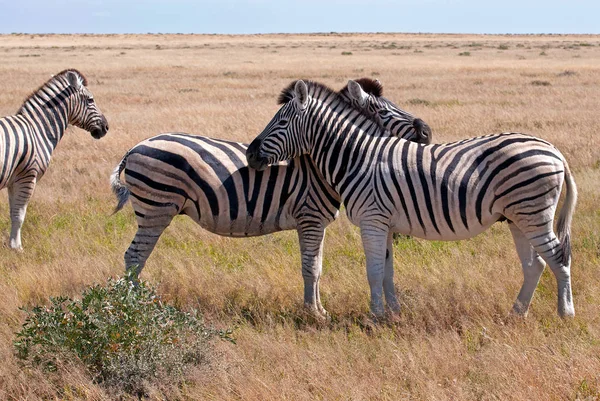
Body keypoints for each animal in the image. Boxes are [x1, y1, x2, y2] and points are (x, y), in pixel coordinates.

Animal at [1, 69, 108, 250]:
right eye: (90, 100)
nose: (106, 127)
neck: (37, 129)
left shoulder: (13, 181)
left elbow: (13, 212)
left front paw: (12, 245)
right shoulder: (27, 176)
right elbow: (19, 215)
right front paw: (17, 248)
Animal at [110, 79, 428, 320]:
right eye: (384, 111)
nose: (426, 131)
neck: (318, 166)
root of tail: (136, 147)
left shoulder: (317, 223)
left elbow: (318, 266)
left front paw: (319, 309)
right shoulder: (309, 218)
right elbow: (310, 268)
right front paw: (313, 314)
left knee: (135, 257)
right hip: (156, 210)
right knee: (134, 256)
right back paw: (133, 307)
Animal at [247, 79, 576, 318]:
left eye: (281, 122)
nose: (250, 154)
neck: (357, 157)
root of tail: (554, 150)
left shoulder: (372, 220)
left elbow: (373, 271)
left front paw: (375, 317)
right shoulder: (385, 223)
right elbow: (387, 272)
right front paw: (392, 313)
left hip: (533, 213)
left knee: (558, 256)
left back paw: (565, 314)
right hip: (518, 218)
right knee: (535, 265)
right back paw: (516, 313)